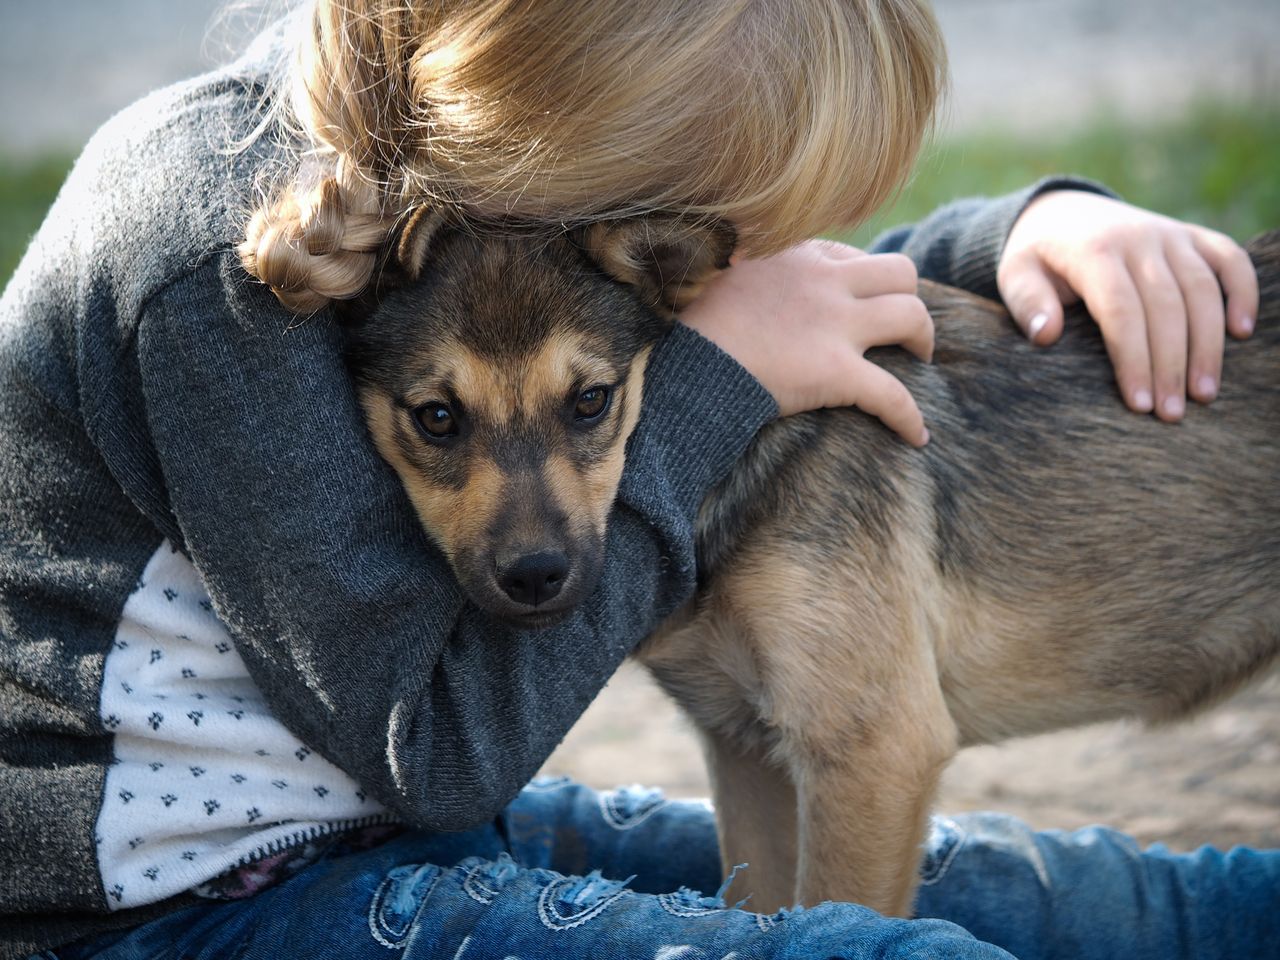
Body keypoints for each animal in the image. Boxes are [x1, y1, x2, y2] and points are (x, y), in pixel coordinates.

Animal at [343, 213, 1280, 921]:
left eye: (591, 402)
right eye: (435, 418)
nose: (537, 576)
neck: (740, 440)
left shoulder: (872, 752)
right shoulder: (747, 752)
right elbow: (762, 910)